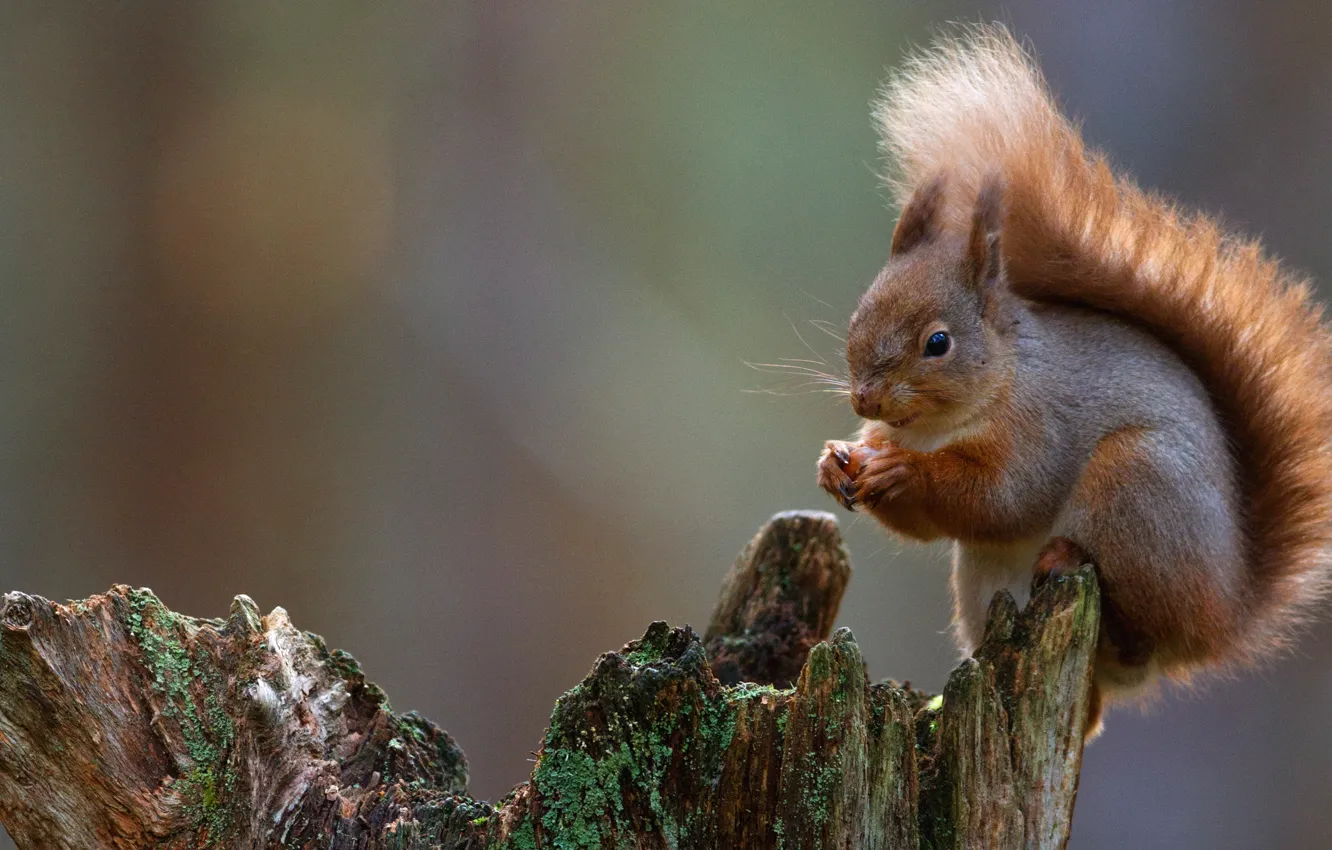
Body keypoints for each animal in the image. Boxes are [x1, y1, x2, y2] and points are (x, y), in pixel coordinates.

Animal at [816, 24, 1332, 736]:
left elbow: (1004, 496)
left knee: (1141, 622)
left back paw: (1074, 566)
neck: (941, 424)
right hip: (986, 581)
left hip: (1137, 485)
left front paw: (900, 470)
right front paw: (839, 462)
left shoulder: (1042, 425)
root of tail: (1224, 616)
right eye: (858, 316)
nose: (865, 397)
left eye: (938, 344)